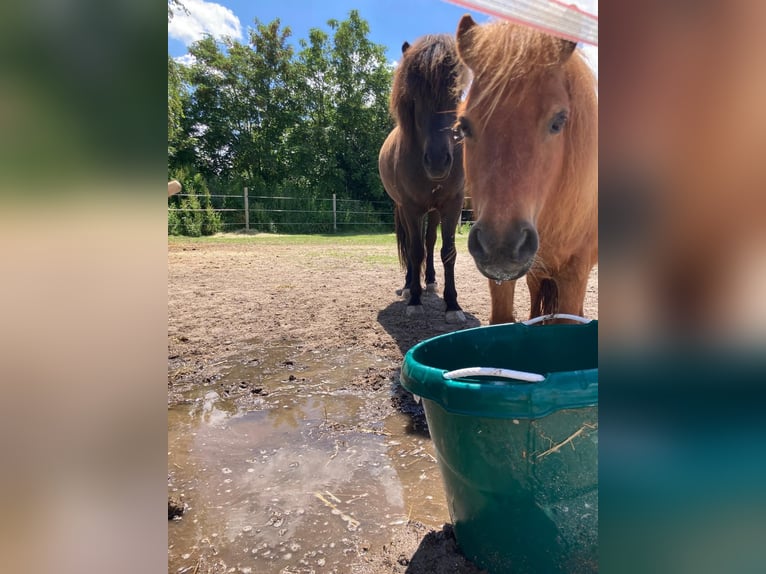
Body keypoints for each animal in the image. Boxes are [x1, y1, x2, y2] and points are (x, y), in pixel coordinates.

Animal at [380, 35, 468, 324]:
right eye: (415, 98)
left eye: (456, 94)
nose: (438, 160)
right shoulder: (410, 207)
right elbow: (414, 250)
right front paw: (415, 300)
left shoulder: (452, 205)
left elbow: (448, 252)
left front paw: (453, 305)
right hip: (405, 209)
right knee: (412, 245)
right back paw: (410, 286)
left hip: (434, 211)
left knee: (429, 242)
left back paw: (429, 281)